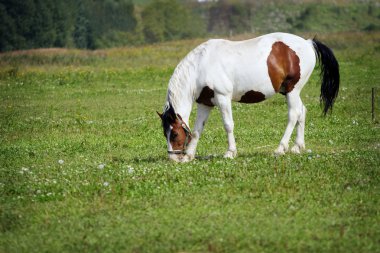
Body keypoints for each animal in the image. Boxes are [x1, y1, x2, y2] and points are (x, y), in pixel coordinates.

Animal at [156, 32, 340, 162]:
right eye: (165, 133)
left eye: (174, 134)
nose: (173, 158)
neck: (201, 66)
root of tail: (308, 43)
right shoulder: (205, 103)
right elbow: (196, 130)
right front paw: (189, 155)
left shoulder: (223, 98)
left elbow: (228, 125)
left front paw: (230, 152)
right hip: (291, 92)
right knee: (302, 111)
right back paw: (297, 147)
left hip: (292, 90)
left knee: (294, 114)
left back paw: (281, 148)